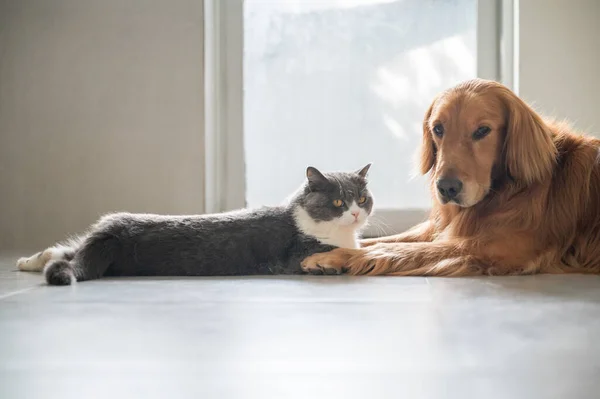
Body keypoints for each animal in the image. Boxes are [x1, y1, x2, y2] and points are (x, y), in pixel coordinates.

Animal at [16, 164, 372, 286]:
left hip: (85, 242)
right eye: (338, 203)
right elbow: (344, 253)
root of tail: (111, 230)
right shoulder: (296, 253)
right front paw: (335, 261)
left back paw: (26, 261)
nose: (356, 213)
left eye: (361, 198)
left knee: (63, 252)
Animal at [302, 79, 600, 276]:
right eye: (438, 128)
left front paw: (335, 256)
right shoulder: (439, 227)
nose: (446, 188)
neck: (505, 192)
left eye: (482, 131)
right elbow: (382, 240)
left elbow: (397, 249)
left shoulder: (497, 247)